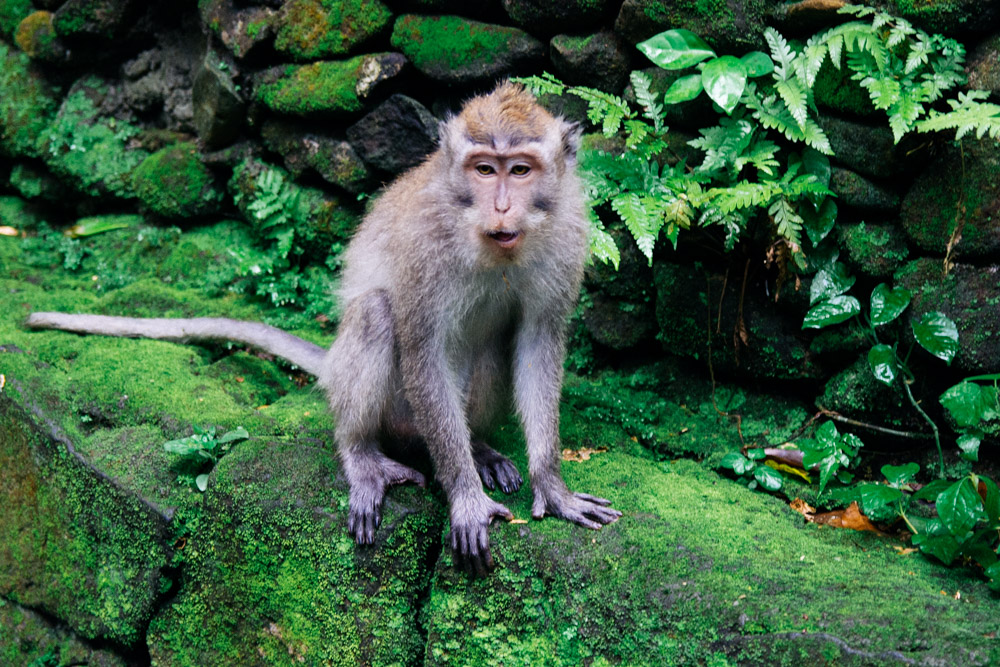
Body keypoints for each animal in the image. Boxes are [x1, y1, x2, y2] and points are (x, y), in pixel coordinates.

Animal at [26, 82, 622, 574]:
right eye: (483, 169)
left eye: (519, 170)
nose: (500, 207)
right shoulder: (427, 243)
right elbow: (423, 348)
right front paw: (466, 498)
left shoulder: (568, 234)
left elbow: (538, 340)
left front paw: (552, 485)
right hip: (395, 412)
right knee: (377, 316)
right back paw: (366, 456)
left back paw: (479, 449)